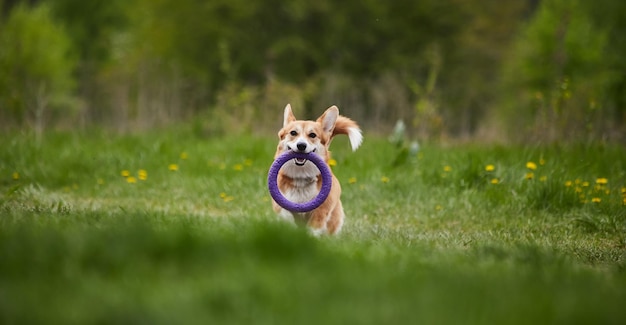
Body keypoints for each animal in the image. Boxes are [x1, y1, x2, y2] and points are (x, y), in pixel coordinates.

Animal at [272, 104, 360, 235]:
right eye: (293, 133)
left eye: (312, 135)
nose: (301, 145)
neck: (301, 177)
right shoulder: (281, 203)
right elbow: (286, 215)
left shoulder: (321, 210)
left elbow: (314, 227)